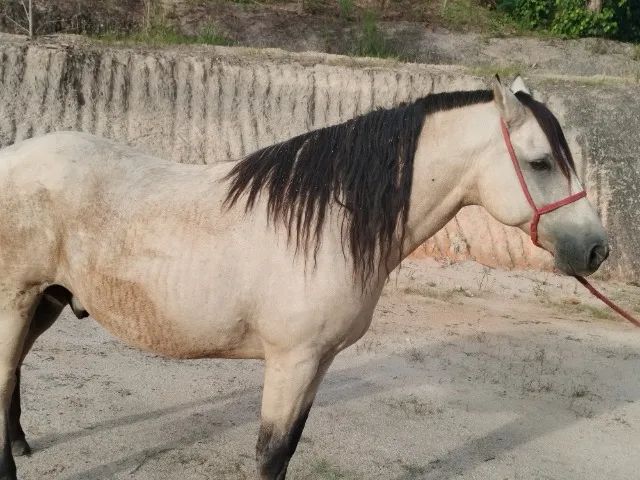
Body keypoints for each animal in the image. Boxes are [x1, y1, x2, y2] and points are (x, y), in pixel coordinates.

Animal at [0, 76, 608, 479]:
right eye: (539, 163)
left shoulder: (319, 362)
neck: (329, 225)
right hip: (16, 301)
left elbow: (289, 448)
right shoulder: (290, 362)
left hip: (45, 301)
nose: (597, 249)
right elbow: (270, 454)